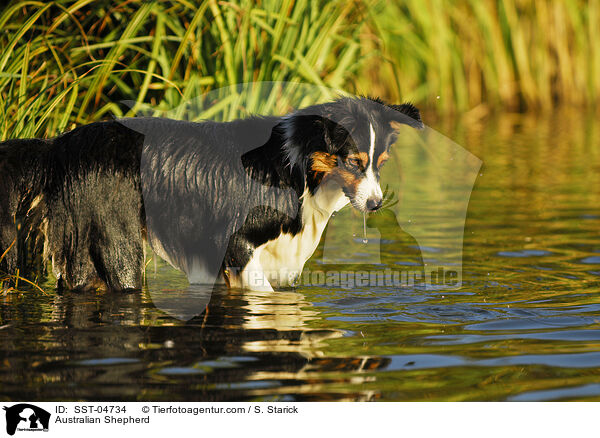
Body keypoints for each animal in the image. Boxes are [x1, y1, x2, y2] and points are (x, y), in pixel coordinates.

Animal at [0, 97, 422, 292]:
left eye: (380, 163)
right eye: (352, 161)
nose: (376, 204)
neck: (298, 168)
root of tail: (58, 146)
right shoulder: (234, 242)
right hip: (116, 242)